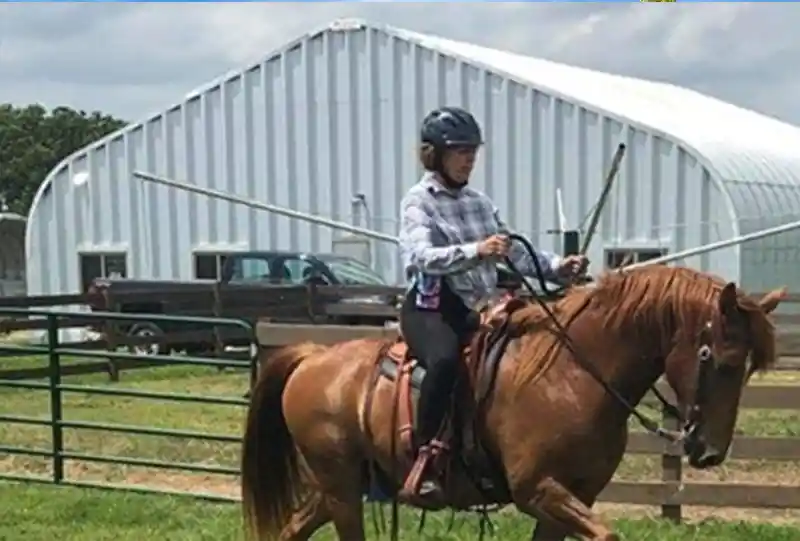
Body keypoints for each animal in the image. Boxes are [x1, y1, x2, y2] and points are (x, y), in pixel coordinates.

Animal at [240, 265, 786, 541]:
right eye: (716, 358)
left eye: (748, 367)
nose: (710, 452)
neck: (571, 374)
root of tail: (313, 359)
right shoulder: (538, 490)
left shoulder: (572, 497)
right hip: (341, 489)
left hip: (340, 486)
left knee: (291, 530)